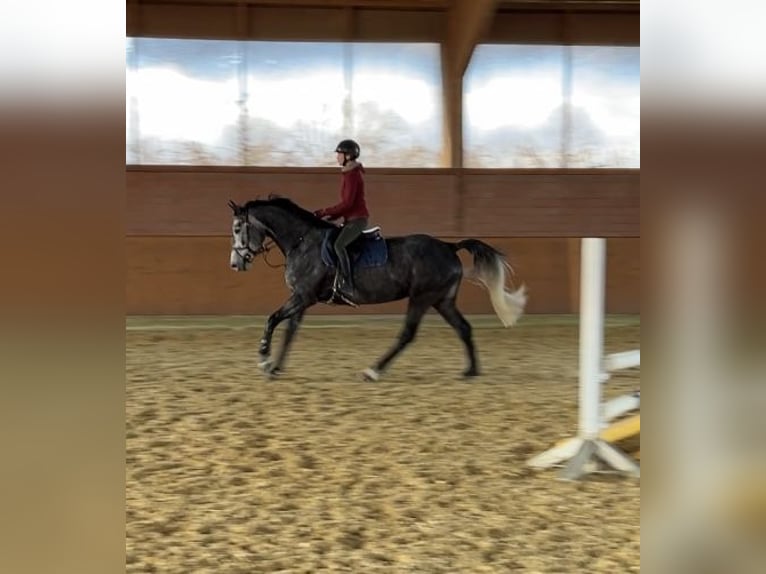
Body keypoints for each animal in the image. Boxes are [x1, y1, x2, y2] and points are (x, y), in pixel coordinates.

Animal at [228, 196, 528, 380]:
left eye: (237, 228)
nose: (235, 263)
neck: (302, 241)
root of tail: (448, 246)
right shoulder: (302, 299)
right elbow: (290, 330)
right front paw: (276, 367)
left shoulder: (302, 297)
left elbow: (272, 319)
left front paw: (264, 360)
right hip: (442, 300)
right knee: (463, 328)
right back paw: (471, 371)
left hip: (422, 297)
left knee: (407, 334)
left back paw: (373, 371)